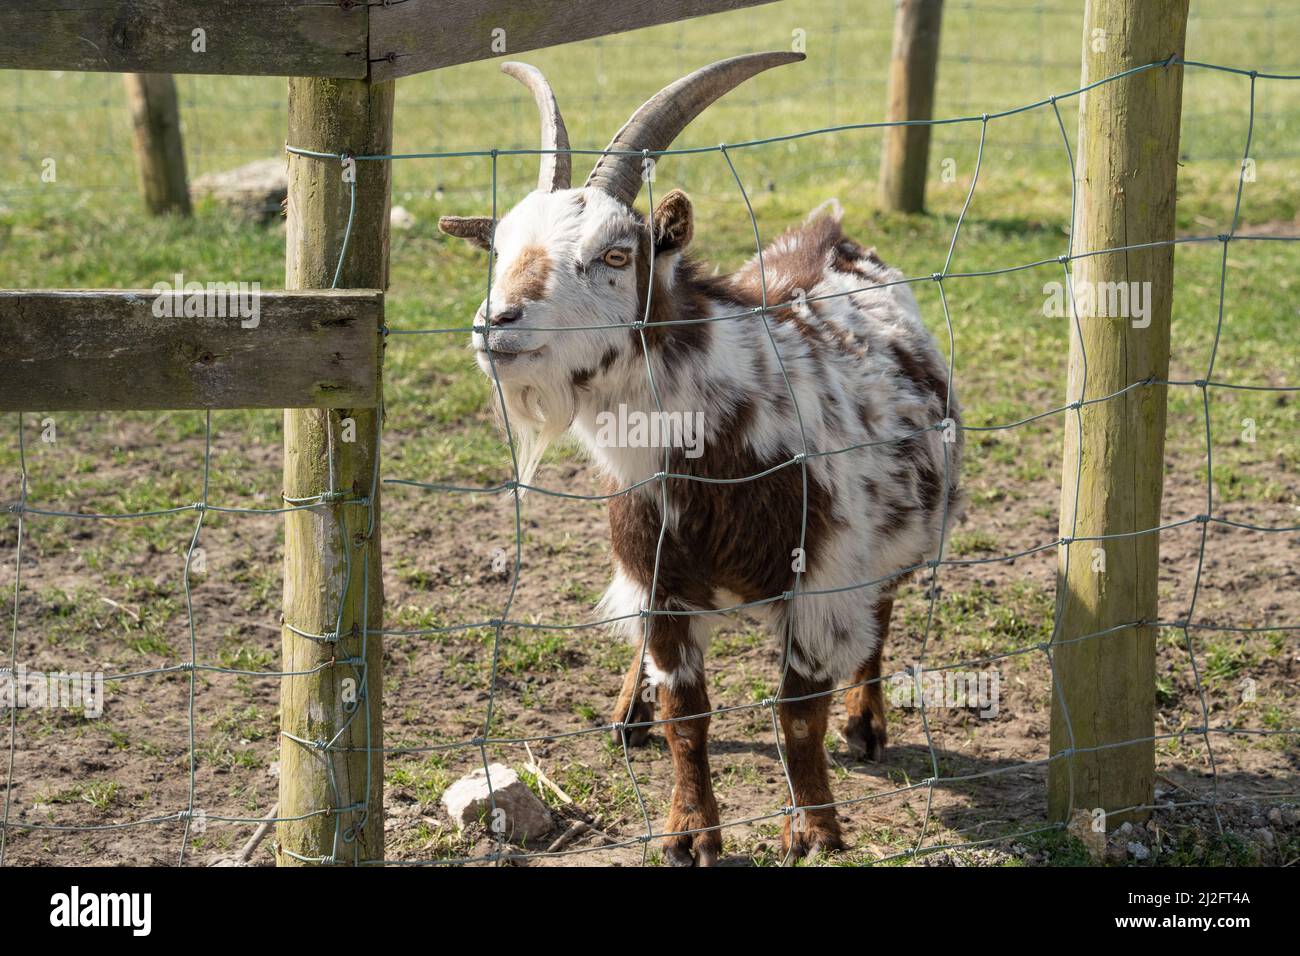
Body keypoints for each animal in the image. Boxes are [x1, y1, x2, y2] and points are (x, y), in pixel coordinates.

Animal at [439, 53, 963, 866]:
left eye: (616, 254)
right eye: (499, 250)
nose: (498, 323)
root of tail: (830, 234)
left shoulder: (822, 578)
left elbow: (798, 716)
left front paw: (814, 828)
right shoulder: (661, 580)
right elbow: (688, 715)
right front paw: (689, 831)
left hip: (902, 531)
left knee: (880, 616)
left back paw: (866, 722)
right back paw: (631, 708)